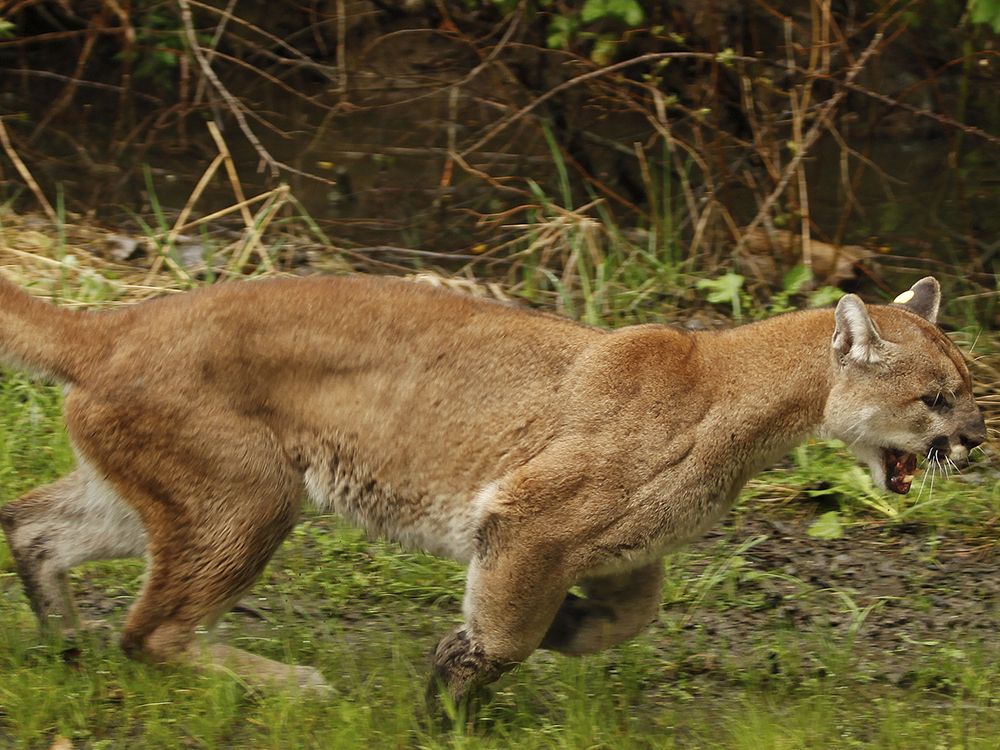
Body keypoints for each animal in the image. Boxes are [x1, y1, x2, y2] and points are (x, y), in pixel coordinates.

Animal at [0, 274, 984, 708]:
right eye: (934, 398)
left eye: (974, 387)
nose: (975, 440)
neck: (747, 402)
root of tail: (113, 326)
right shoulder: (531, 518)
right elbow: (503, 630)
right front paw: (452, 691)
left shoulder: (623, 550)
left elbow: (630, 616)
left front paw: (568, 630)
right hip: (251, 496)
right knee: (151, 632)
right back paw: (295, 686)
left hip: (172, 496)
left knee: (34, 526)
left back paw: (64, 643)